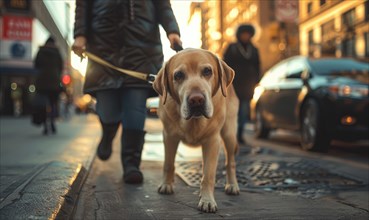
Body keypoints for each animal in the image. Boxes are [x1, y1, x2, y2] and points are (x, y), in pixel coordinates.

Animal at [152, 48, 239, 213]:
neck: (193, 122)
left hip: (229, 134)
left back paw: (232, 185)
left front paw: (207, 200)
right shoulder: (169, 137)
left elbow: (208, 175)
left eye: (207, 71)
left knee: (230, 162)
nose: (196, 99)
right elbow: (168, 164)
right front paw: (166, 184)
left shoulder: (212, 141)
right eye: (178, 75)